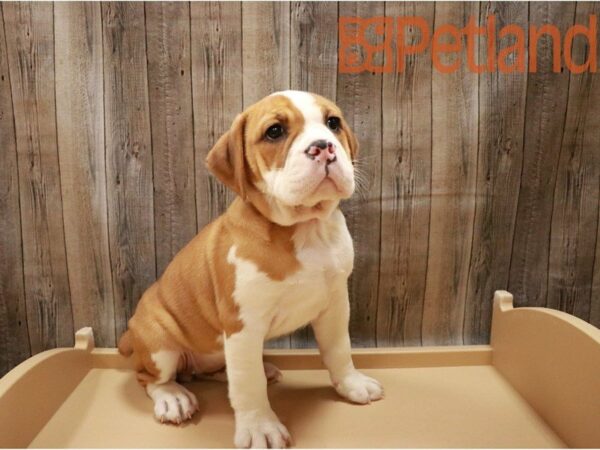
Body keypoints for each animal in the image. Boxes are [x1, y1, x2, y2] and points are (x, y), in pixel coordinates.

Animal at [118, 90, 384, 446]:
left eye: (333, 123)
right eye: (275, 131)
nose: (323, 146)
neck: (305, 228)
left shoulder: (335, 305)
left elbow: (339, 349)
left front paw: (351, 384)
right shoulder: (243, 325)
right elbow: (248, 384)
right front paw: (260, 427)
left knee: (217, 371)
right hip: (160, 344)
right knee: (150, 377)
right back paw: (173, 398)